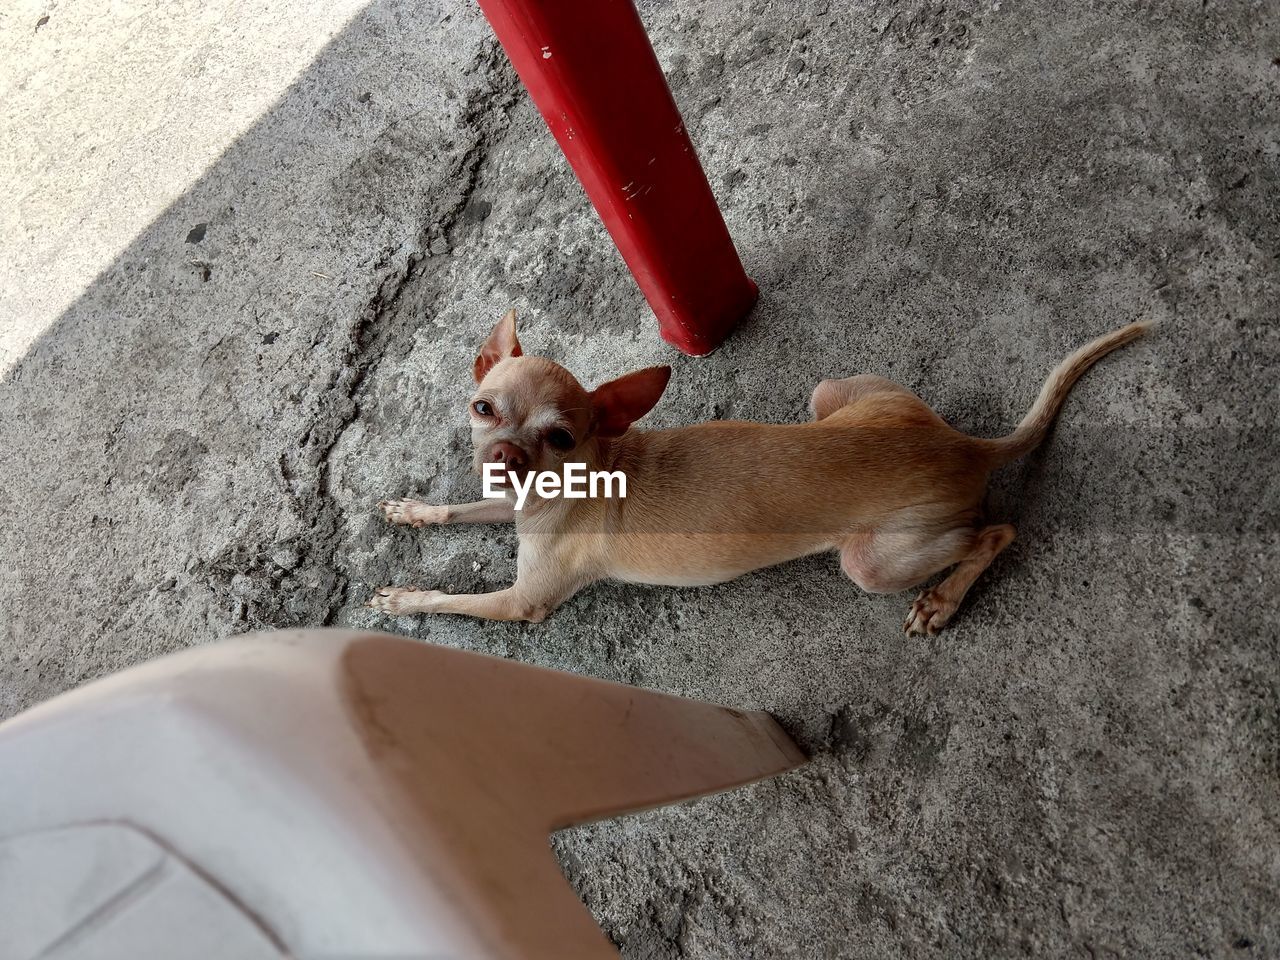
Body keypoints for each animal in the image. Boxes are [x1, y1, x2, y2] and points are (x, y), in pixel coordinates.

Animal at [371, 312, 1152, 634]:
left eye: (559, 437)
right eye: (483, 408)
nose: (501, 460)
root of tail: (964, 446)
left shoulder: (522, 603)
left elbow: (451, 601)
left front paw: (404, 598)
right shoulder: (505, 503)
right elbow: (461, 508)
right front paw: (414, 512)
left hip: (874, 562)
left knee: (998, 532)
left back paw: (942, 600)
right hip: (834, 395)